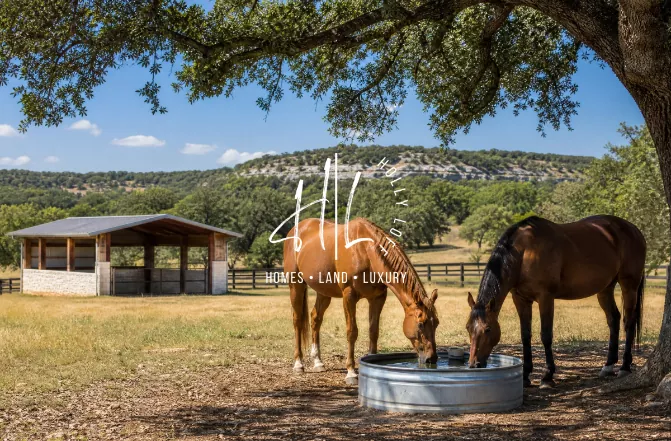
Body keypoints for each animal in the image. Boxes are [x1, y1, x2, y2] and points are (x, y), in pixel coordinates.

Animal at [284, 217, 439, 385]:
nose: (432, 359)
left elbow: (373, 330)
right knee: (297, 321)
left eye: (436, 323)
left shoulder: (377, 298)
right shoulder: (349, 296)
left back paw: (318, 362)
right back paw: (298, 364)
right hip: (296, 285)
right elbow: (352, 332)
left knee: (315, 319)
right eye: (421, 324)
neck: (365, 250)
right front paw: (351, 372)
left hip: (323, 292)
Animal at [466, 215, 646, 388]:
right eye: (468, 327)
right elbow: (525, 335)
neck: (525, 252)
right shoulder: (521, 299)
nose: (474, 364)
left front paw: (547, 376)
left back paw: (624, 367)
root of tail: (634, 230)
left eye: (487, 329)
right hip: (605, 289)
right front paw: (525, 375)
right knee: (613, 319)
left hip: (629, 286)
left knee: (629, 322)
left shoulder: (545, 298)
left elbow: (546, 335)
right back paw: (608, 365)